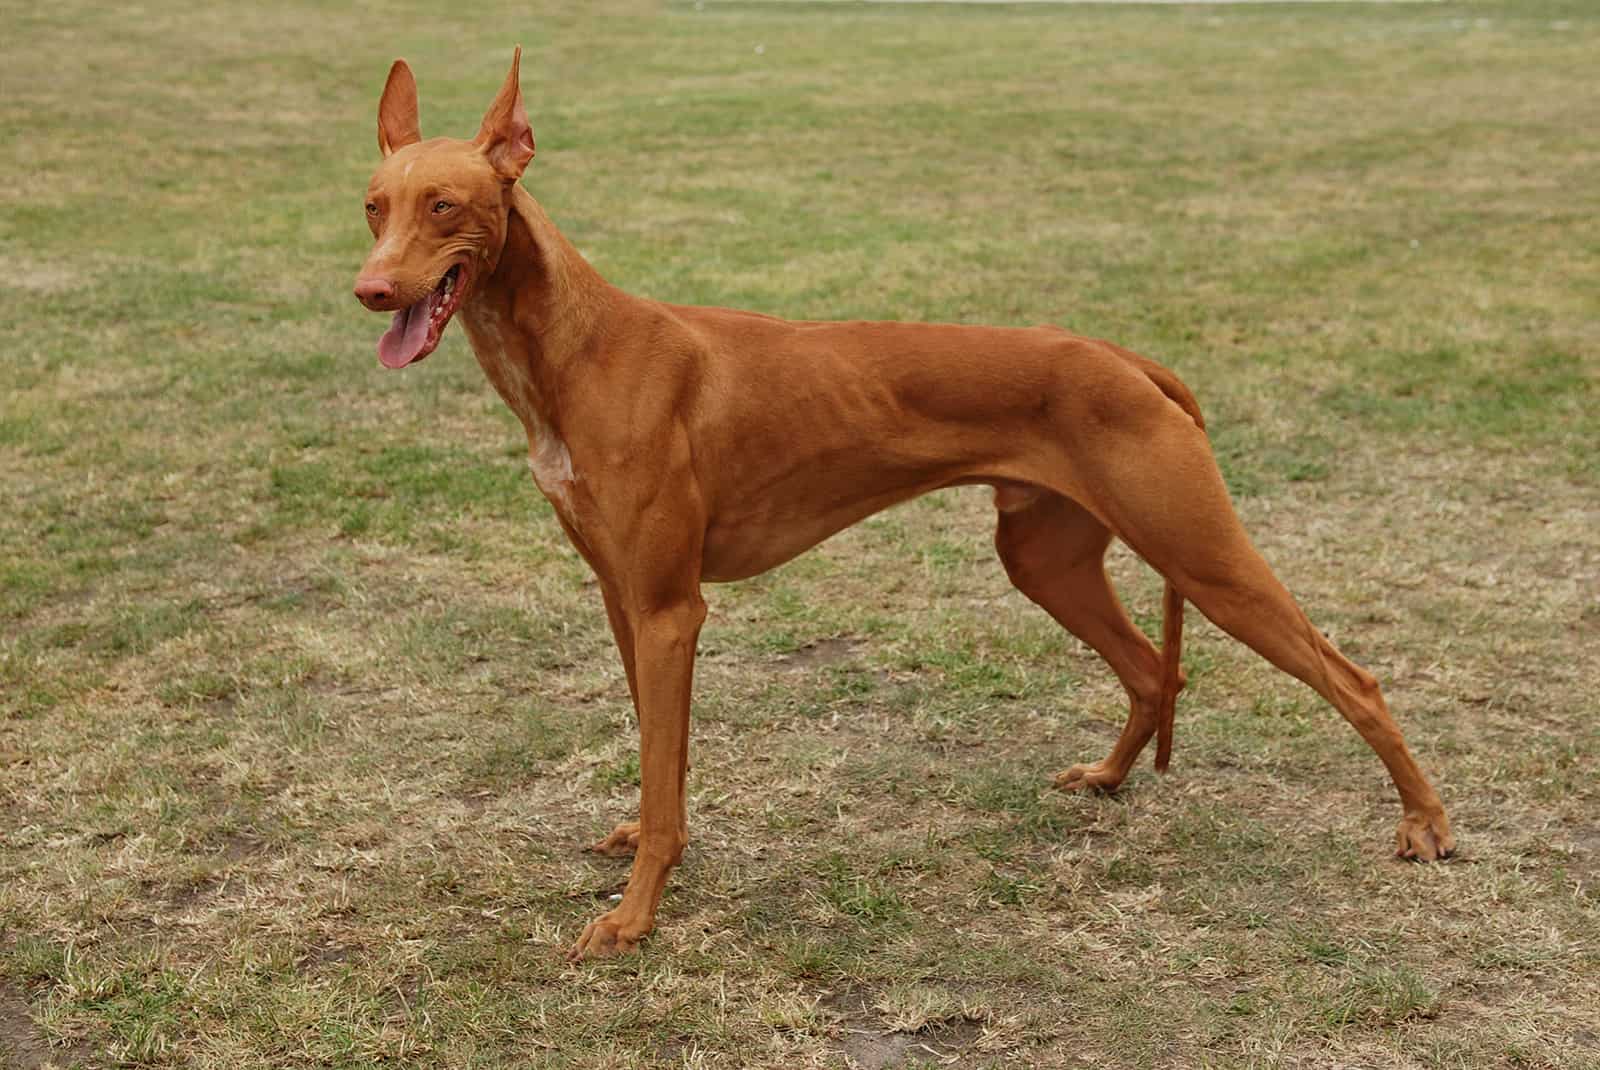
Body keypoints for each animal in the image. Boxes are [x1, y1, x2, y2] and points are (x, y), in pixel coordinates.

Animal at [350, 47, 1452, 959]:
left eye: (444, 205)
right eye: (372, 205)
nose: (370, 290)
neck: (577, 351)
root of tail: (1121, 357)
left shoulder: (670, 609)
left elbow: (664, 775)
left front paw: (634, 916)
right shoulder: (625, 600)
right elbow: (660, 758)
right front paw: (647, 853)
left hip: (1205, 557)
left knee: (1352, 678)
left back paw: (1425, 823)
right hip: (1046, 559)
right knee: (1153, 668)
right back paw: (1108, 778)